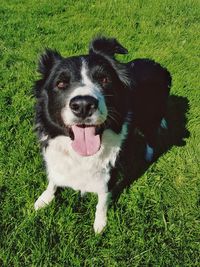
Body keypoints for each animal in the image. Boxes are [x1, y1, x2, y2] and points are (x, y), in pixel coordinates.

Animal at [33, 36, 171, 233]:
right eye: (61, 84)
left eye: (104, 79)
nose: (83, 105)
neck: (80, 155)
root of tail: (158, 66)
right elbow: (53, 179)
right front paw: (44, 198)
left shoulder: (110, 170)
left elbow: (103, 199)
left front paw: (100, 223)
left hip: (151, 118)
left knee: (151, 136)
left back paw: (148, 154)